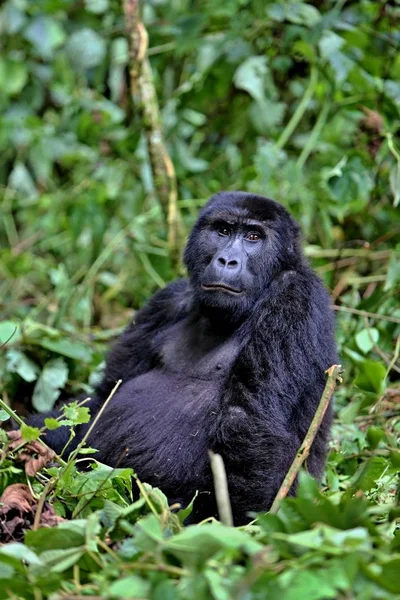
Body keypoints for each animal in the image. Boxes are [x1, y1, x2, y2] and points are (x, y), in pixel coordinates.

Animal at [27, 193, 338, 524]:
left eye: (254, 236)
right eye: (222, 231)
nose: (227, 261)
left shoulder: (294, 296)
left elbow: (248, 420)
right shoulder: (166, 300)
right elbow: (101, 398)